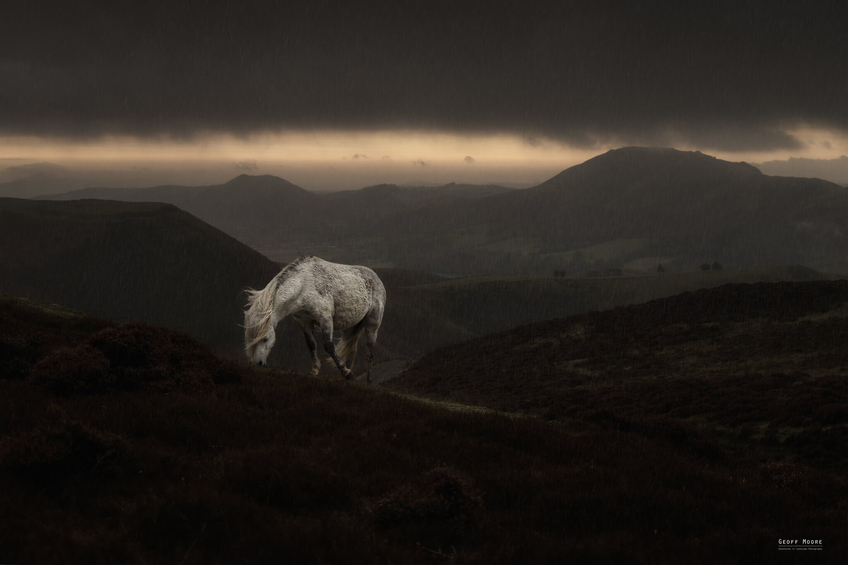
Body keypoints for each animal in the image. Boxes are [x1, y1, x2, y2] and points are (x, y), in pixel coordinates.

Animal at [243, 256, 386, 384]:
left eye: (265, 338)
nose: (257, 363)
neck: (303, 285)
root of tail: (376, 277)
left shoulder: (325, 318)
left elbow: (328, 346)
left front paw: (346, 373)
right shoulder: (304, 322)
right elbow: (311, 344)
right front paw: (315, 370)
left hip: (372, 323)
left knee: (369, 351)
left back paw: (367, 380)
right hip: (351, 325)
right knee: (351, 349)